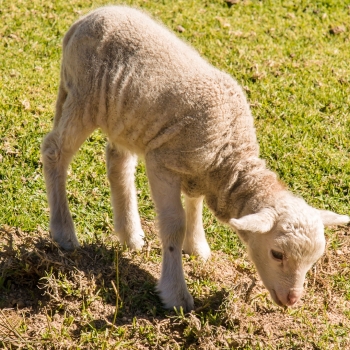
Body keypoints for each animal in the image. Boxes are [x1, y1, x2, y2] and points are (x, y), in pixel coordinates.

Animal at [41, 6, 350, 312]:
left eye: (314, 260)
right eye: (276, 254)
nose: (292, 299)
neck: (228, 157)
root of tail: (86, 18)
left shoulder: (199, 170)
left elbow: (194, 203)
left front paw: (196, 245)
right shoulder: (162, 162)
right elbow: (174, 225)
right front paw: (175, 293)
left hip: (124, 115)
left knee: (118, 161)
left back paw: (130, 234)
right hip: (84, 97)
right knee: (54, 150)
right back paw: (64, 232)